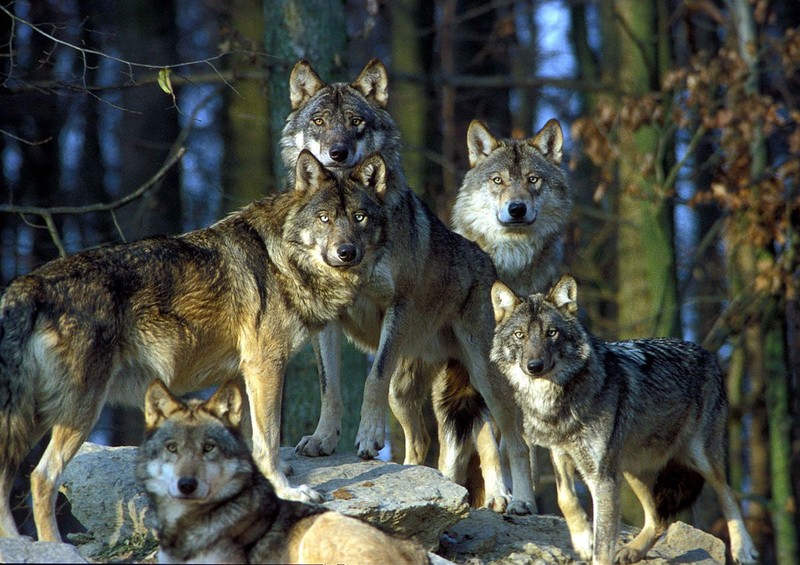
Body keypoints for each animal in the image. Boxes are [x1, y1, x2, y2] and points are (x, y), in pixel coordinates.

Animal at [0, 151, 388, 540]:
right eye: (324, 218)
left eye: (359, 217)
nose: (347, 252)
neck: (283, 258)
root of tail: (29, 284)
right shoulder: (266, 365)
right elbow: (269, 441)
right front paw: (287, 490)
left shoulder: (244, 373)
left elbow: (251, 440)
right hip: (79, 410)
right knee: (42, 478)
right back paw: (52, 545)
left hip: (37, 413)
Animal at [282, 59, 536, 512]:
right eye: (319, 121)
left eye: (355, 122)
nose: (336, 152)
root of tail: (490, 266)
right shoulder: (325, 318)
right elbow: (330, 386)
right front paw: (323, 439)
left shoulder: (396, 307)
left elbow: (372, 377)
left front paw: (368, 439)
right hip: (415, 392)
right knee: (423, 441)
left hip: (486, 379)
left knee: (512, 441)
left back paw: (515, 502)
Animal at [490, 274, 760, 564]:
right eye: (520, 334)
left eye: (551, 333)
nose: (534, 367)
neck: (557, 401)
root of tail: (707, 352)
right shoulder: (560, 453)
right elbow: (566, 499)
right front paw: (583, 541)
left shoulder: (602, 477)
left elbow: (603, 542)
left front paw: (593, 546)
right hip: (633, 467)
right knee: (658, 519)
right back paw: (633, 549)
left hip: (700, 456)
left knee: (727, 493)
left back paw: (744, 549)